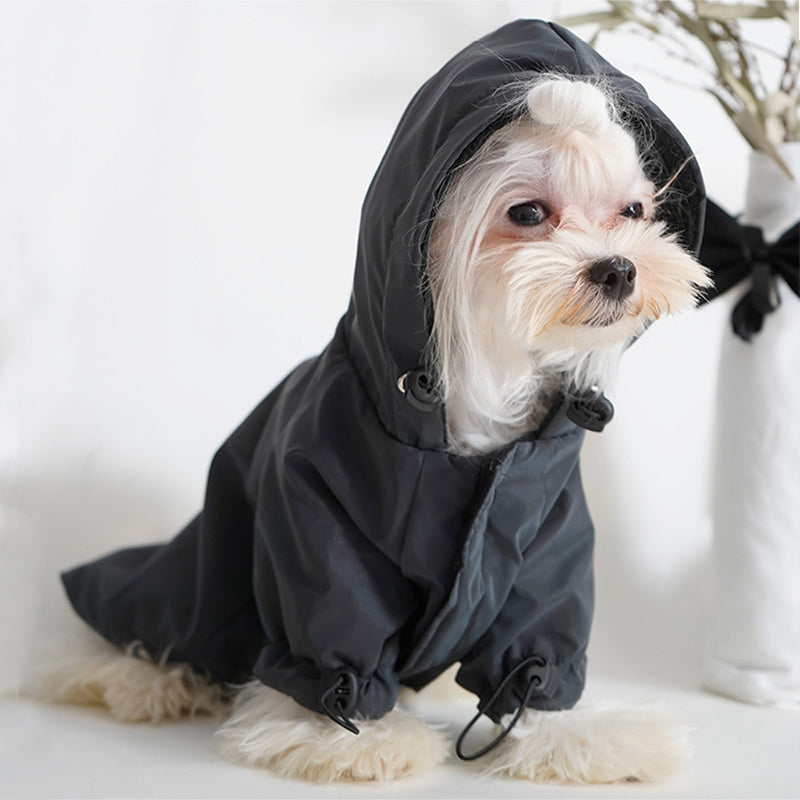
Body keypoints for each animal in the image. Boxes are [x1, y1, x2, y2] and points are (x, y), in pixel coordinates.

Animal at [37, 18, 712, 788]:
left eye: (633, 211)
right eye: (527, 212)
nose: (619, 268)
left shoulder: (549, 538)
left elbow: (537, 638)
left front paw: (562, 733)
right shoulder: (315, 519)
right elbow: (335, 625)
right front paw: (345, 738)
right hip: (186, 586)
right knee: (151, 626)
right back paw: (138, 677)